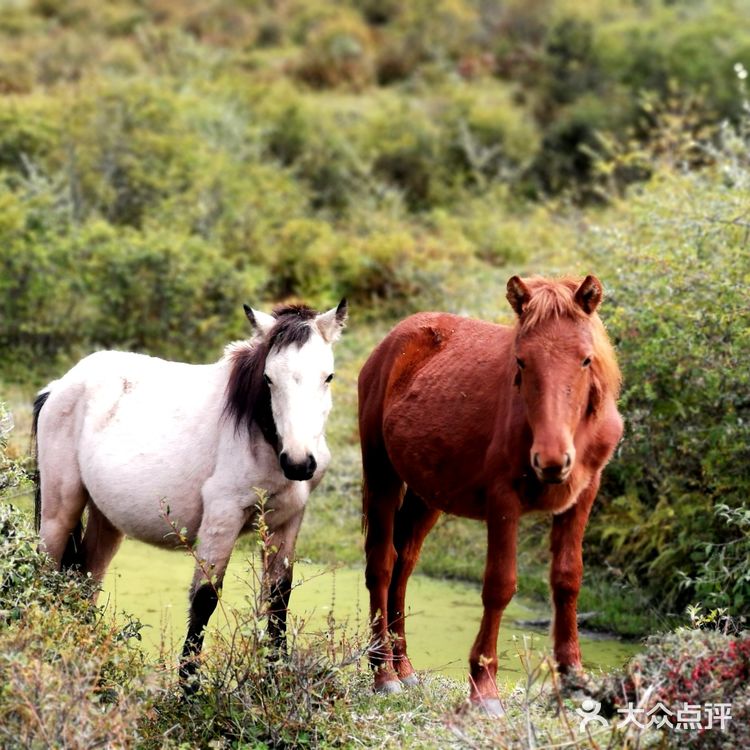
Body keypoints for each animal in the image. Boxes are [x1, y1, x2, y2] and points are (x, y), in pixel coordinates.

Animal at [33, 302, 350, 688]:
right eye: (269, 379)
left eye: (328, 377)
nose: (299, 462)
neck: (261, 435)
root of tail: (59, 387)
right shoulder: (222, 516)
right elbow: (205, 598)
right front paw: (189, 690)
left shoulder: (287, 520)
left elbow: (279, 597)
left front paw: (277, 681)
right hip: (58, 512)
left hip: (105, 520)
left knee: (87, 579)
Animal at [358, 274, 624, 716]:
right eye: (522, 361)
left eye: (585, 360)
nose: (552, 460)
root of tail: (392, 339)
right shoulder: (504, 502)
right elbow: (500, 586)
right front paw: (483, 687)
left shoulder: (583, 495)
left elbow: (568, 580)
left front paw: (574, 678)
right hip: (382, 475)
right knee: (381, 563)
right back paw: (383, 673)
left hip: (427, 495)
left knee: (404, 564)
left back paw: (405, 666)